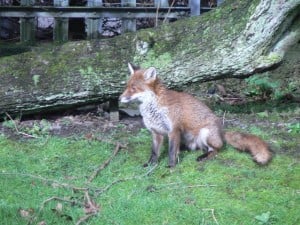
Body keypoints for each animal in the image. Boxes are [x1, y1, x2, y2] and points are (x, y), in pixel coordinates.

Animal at [119, 63, 272, 167]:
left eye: (133, 88)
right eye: (126, 86)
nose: (119, 99)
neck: (155, 108)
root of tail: (222, 132)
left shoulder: (173, 130)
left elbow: (171, 151)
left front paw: (171, 166)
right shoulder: (156, 132)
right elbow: (154, 152)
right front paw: (151, 165)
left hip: (205, 133)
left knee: (216, 149)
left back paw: (203, 157)